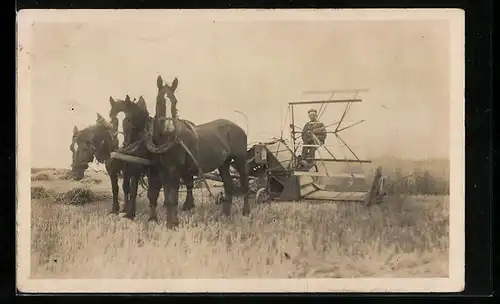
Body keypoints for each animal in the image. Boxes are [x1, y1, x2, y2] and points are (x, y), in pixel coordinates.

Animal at [146, 76, 252, 228]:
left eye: (175, 101)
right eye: (159, 100)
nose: (169, 128)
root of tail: (238, 128)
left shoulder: (175, 169)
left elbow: (172, 197)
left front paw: (173, 224)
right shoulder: (160, 170)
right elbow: (164, 196)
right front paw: (166, 222)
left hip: (240, 159)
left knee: (244, 184)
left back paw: (246, 212)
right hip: (224, 164)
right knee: (229, 185)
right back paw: (225, 215)